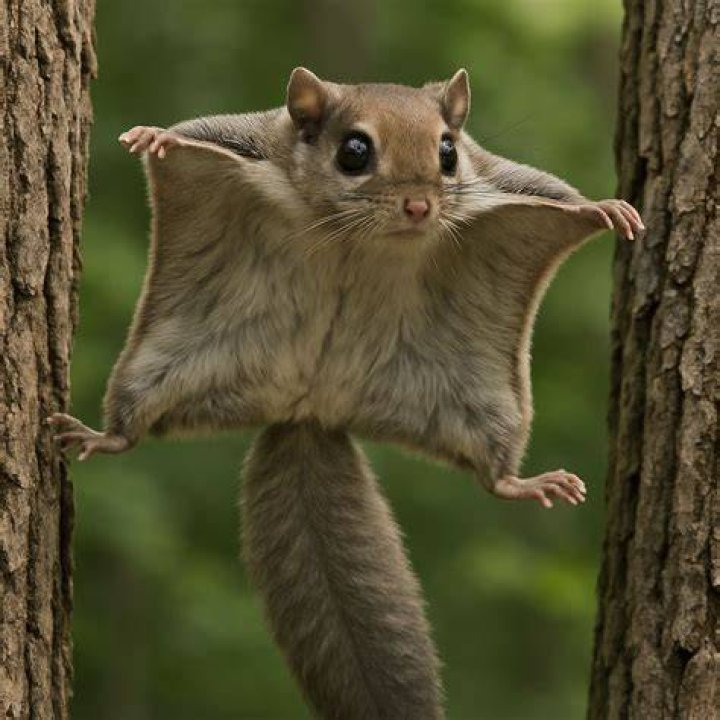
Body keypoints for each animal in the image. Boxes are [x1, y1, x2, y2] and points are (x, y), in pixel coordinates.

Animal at [48, 68, 643, 720]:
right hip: (165, 363)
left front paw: (605, 206)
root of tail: (311, 407)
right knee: (129, 427)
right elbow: (199, 132)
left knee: (493, 474)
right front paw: (155, 135)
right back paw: (101, 434)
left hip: (480, 401)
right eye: (354, 152)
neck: (357, 237)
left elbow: (552, 192)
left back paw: (524, 480)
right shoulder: (254, 142)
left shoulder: (496, 181)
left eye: (448, 151)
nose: (419, 205)